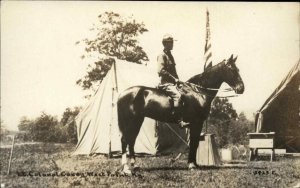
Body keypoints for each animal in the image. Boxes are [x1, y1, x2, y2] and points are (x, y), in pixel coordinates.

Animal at [116, 54, 244, 173]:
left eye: (238, 69)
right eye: (232, 69)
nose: (241, 88)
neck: (198, 92)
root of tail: (122, 94)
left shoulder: (197, 124)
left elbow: (195, 143)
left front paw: (195, 164)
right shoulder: (196, 122)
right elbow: (194, 143)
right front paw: (191, 165)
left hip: (137, 121)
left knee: (131, 140)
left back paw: (134, 166)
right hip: (131, 121)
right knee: (125, 140)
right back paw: (126, 168)